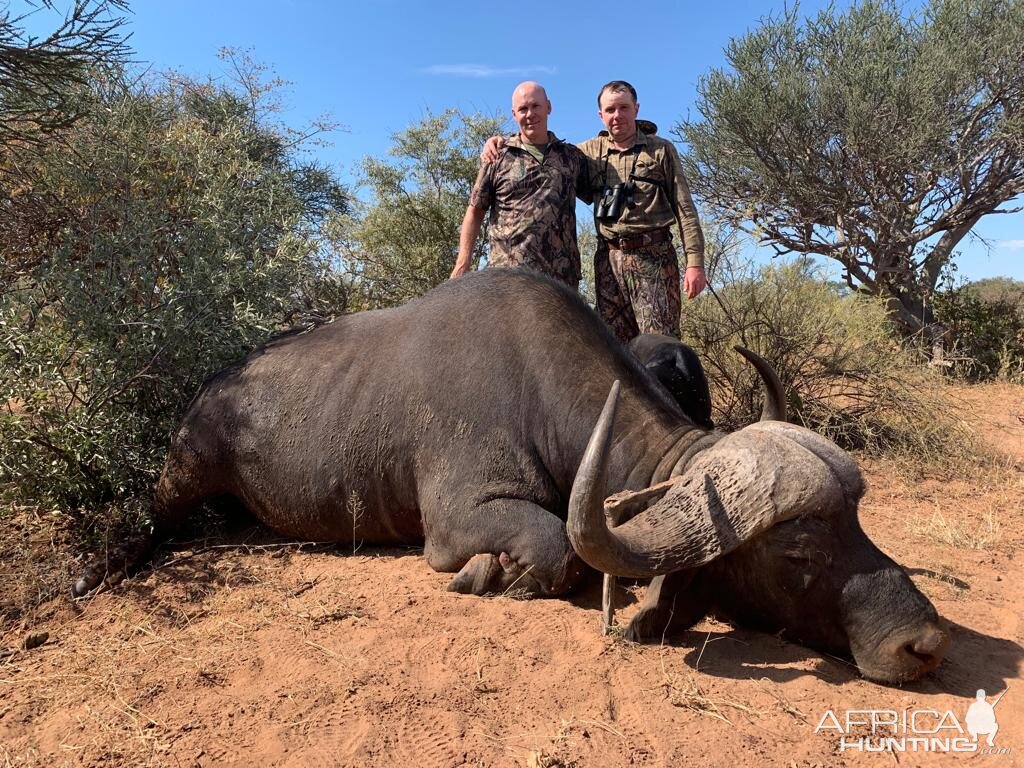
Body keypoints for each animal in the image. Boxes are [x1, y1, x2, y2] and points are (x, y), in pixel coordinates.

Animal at [75, 270, 946, 684]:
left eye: (860, 526)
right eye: (797, 555)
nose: (924, 643)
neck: (537, 387)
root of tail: (213, 386)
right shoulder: (456, 522)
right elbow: (556, 549)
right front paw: (489, 574)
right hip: (180, 474)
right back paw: (97, 571)